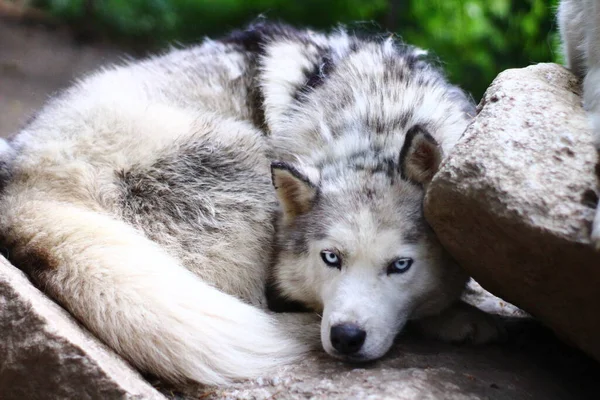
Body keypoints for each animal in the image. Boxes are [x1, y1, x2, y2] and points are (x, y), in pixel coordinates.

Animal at [0, 21, 500, 384]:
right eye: (330, 258)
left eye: (400, 266)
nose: (345, 338)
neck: (375, 123)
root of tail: (23, 192)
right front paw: (456, 318)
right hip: (246, 153)